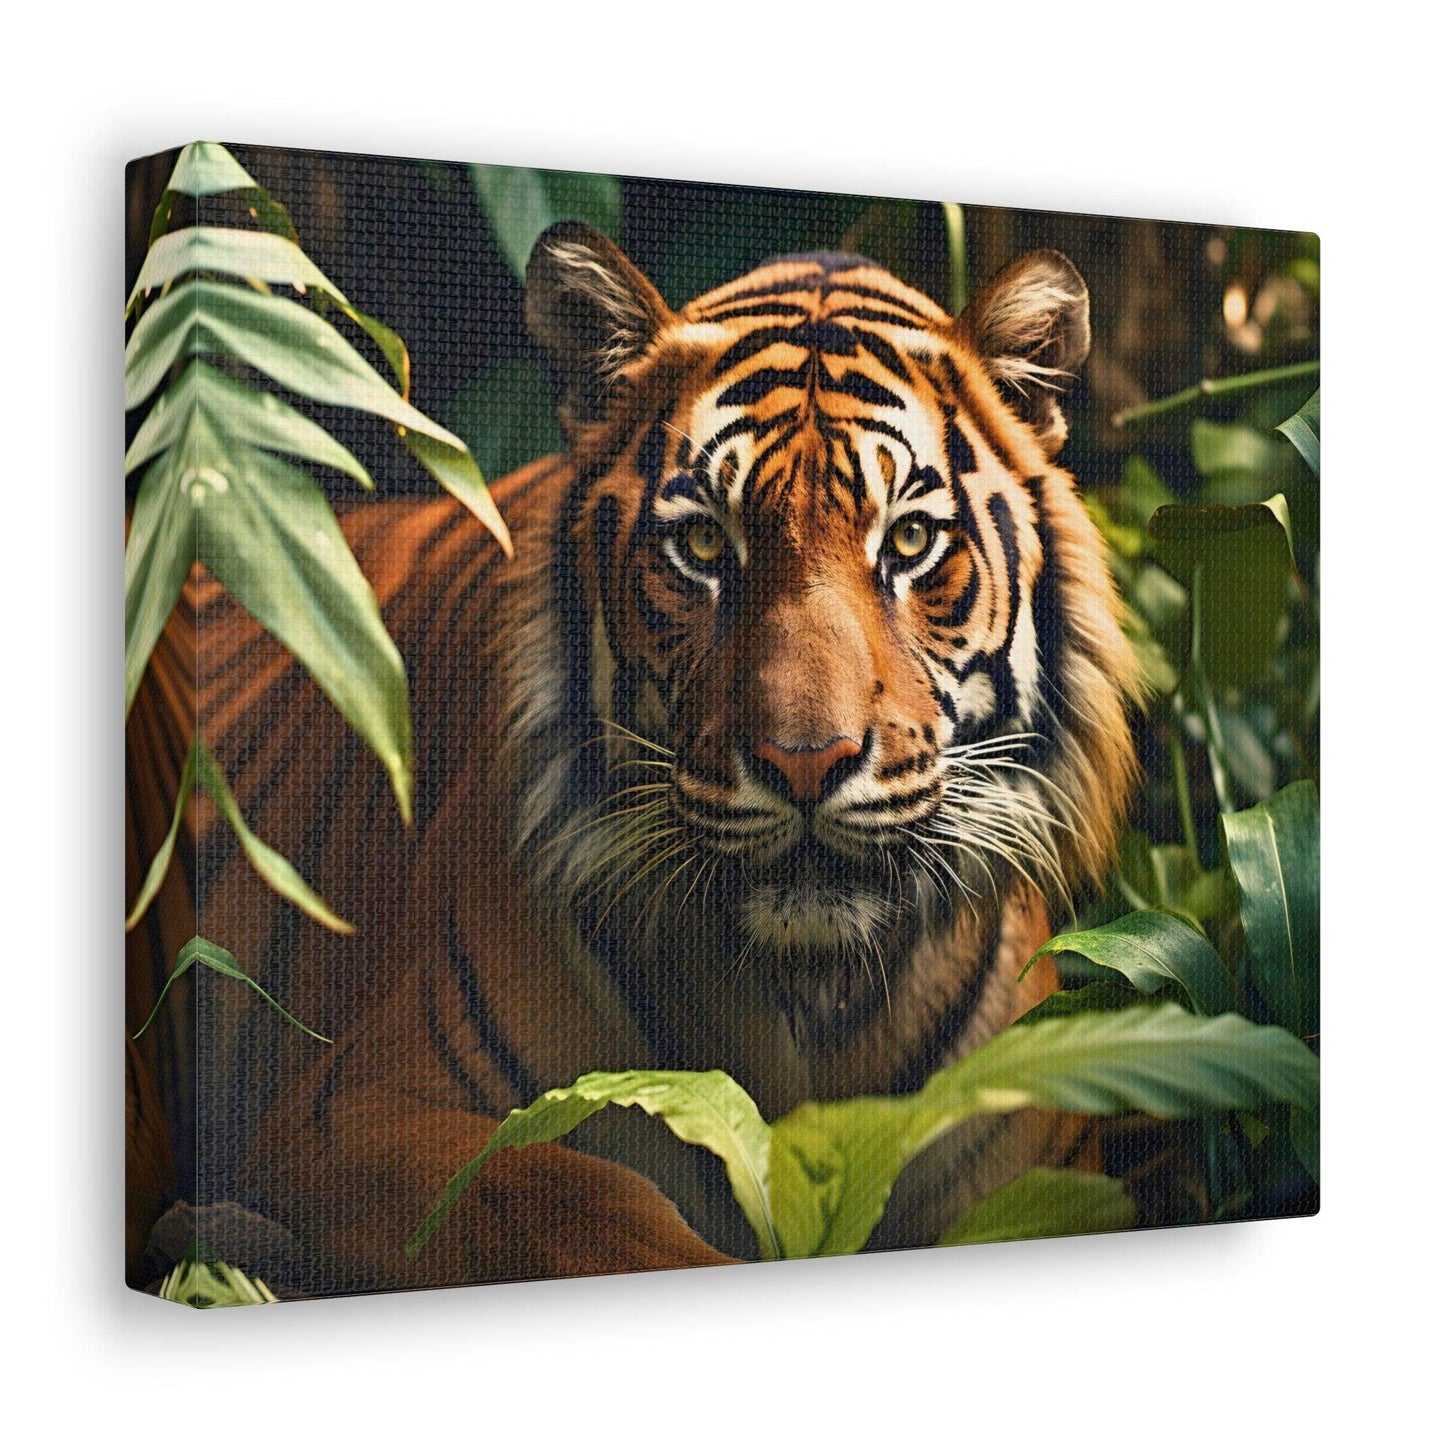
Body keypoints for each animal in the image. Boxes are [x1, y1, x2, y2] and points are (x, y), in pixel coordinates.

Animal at [128, 224, 1142, 1294]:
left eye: (908, 539)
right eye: (702, 543)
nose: (805, 761)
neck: (808, 1003)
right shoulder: (347, 1114)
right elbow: (564, 1197)